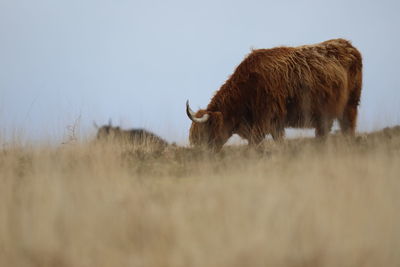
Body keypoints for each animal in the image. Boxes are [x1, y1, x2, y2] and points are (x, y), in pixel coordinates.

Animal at [187, 38, 362, 152]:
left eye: (205, 134)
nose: (201, 156)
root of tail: (349, 45)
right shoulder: (273, 125)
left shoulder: (266, 120)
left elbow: (256, 144)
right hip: (325, 115)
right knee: (323, 133)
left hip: (350, 105)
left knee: (348, 128)